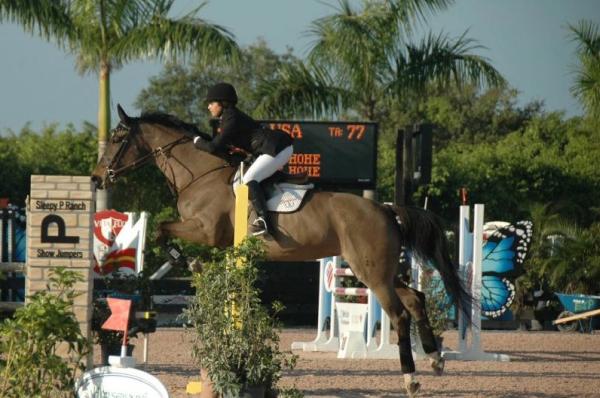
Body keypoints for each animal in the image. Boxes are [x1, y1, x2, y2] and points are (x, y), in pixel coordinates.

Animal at [92, 104, 468, 396]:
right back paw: (435, 359)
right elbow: (162, 231)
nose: (96, 179)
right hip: (379, 270)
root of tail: (387, 209)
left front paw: (187, 261)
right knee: (416, 299)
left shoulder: (206, 230)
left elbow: (161, 230)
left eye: (117, 139)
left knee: (400, 314)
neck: (200, 173)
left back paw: (411, 379)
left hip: (370, 272)